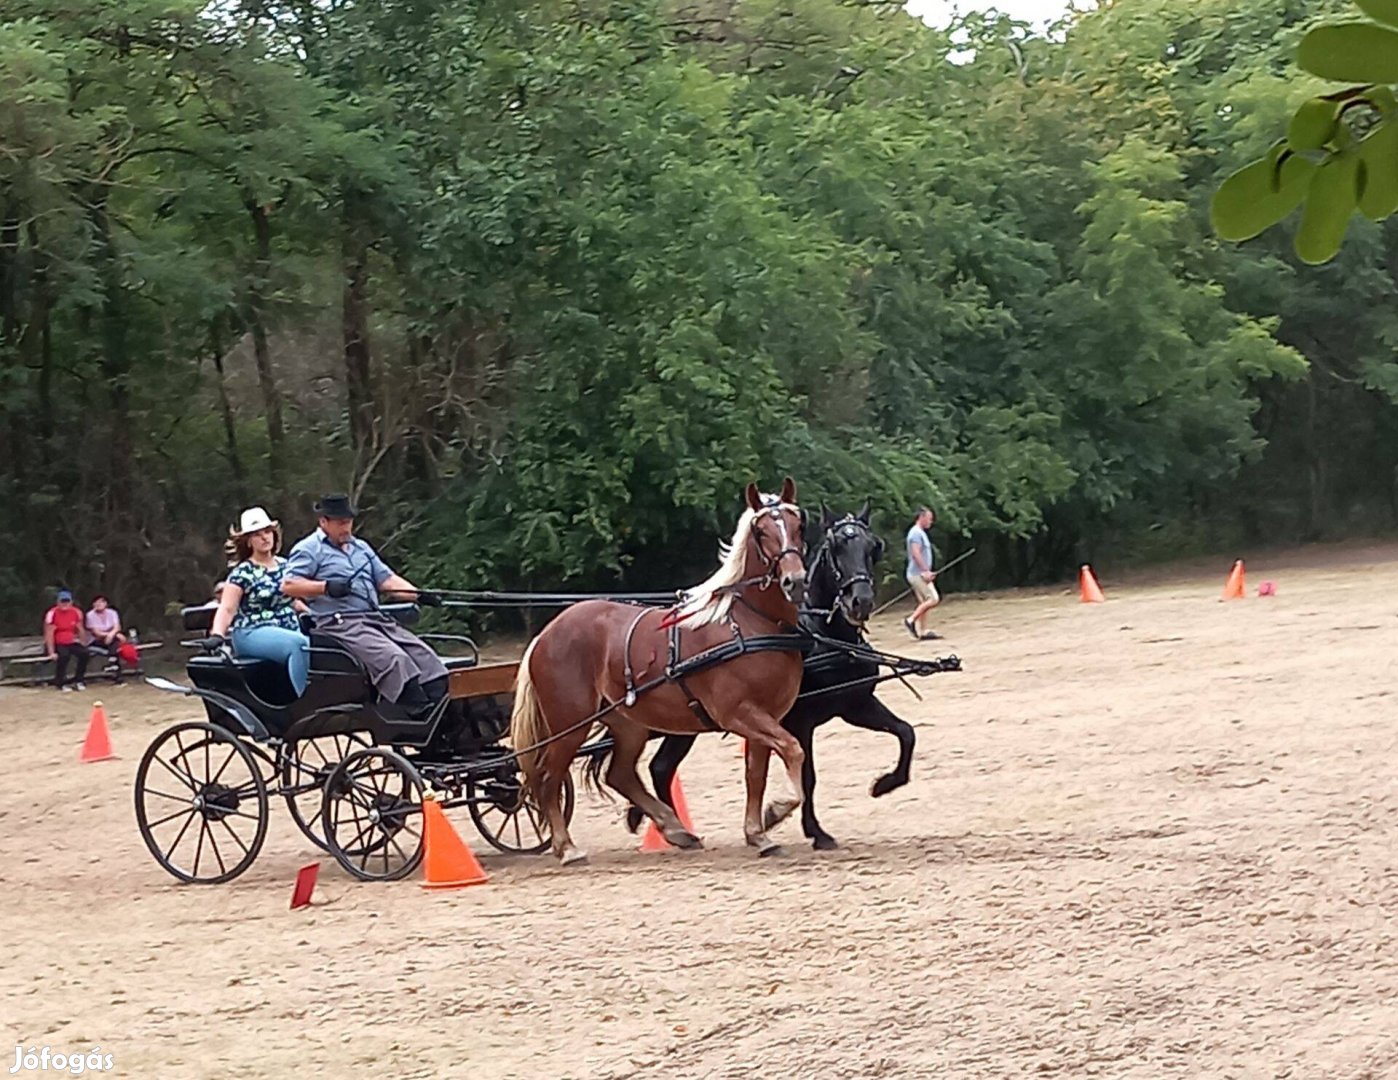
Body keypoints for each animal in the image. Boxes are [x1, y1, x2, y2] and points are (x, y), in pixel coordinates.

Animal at [508, 475, 810, 866]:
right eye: (761, 531)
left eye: (798, 524)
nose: (795, 581)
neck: (748, 623)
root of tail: (545, 634)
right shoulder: (738, 713)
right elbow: (793, 750)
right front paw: (776, 810)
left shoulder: (765, 716)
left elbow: (756, 774)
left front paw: (758, 833)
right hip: (567, 725)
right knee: (549, 777)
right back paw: (567, 847)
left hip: (627, 723)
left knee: (619, 774)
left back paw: (675, 828)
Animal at [623, 500, 917, 849]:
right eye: (835, 547)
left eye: (873, 547)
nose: (860, 601)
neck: (822, 635)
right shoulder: (799, 721)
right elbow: (807, 775)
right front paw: (813, 831)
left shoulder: (855, 704)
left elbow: (905, 732)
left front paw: (885, 784)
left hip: (684, 722)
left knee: (660, 767)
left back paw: (671, 827)